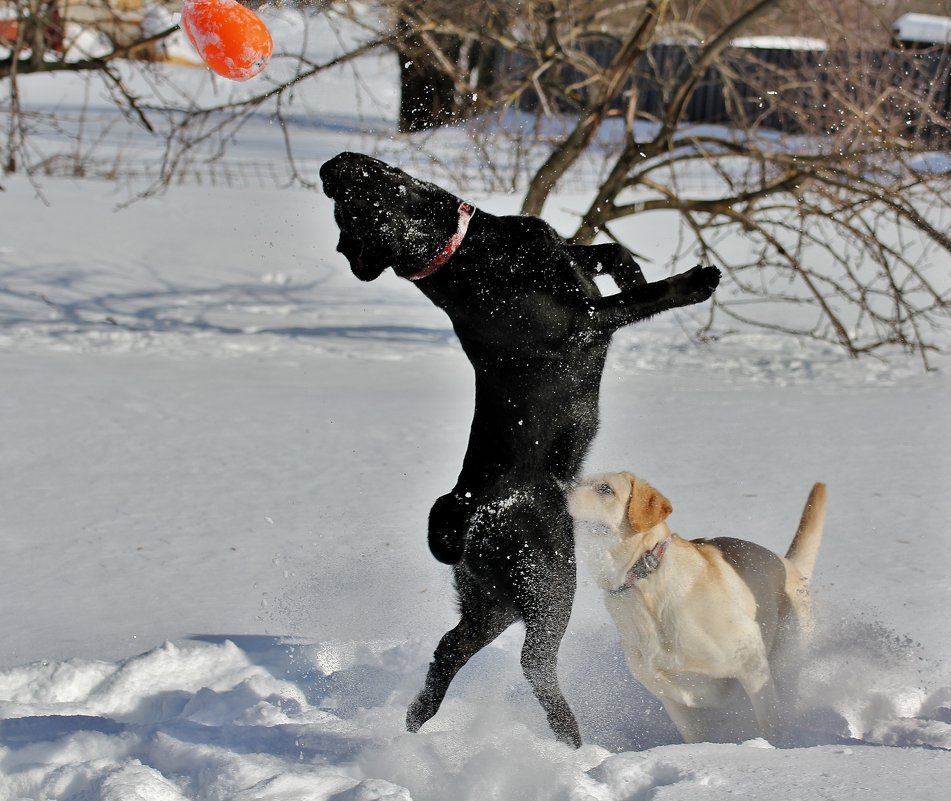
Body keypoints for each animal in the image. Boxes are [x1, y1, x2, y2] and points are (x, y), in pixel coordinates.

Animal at [322, 152, 720, 752]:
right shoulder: (583, 322)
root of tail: (470, 507)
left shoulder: (568, 258)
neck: (471, 246)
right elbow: (639, 299)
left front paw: (633, 269)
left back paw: (418, 717)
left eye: (347, 207)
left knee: (449, 649)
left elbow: (612, 252)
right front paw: (693, 283)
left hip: (491, 604)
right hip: (552, 585)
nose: (328, 171)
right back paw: (570, 739)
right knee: (535, 665)